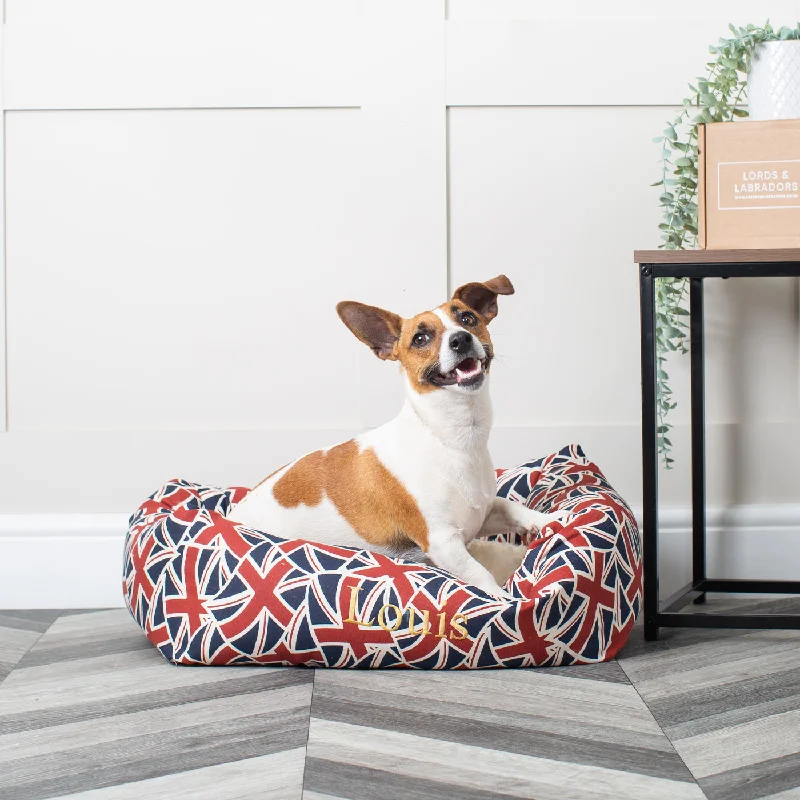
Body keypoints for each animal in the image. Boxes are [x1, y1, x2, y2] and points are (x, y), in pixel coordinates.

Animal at [233, 276, 564, 592]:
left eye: (468, 318)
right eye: (420, 338)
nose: (460, 339)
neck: (450, 439)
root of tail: (235, 514)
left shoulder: (481, 515)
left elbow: (512, 506)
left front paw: (550, 520)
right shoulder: (443, 543)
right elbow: (481, 576)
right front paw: (503, 599)